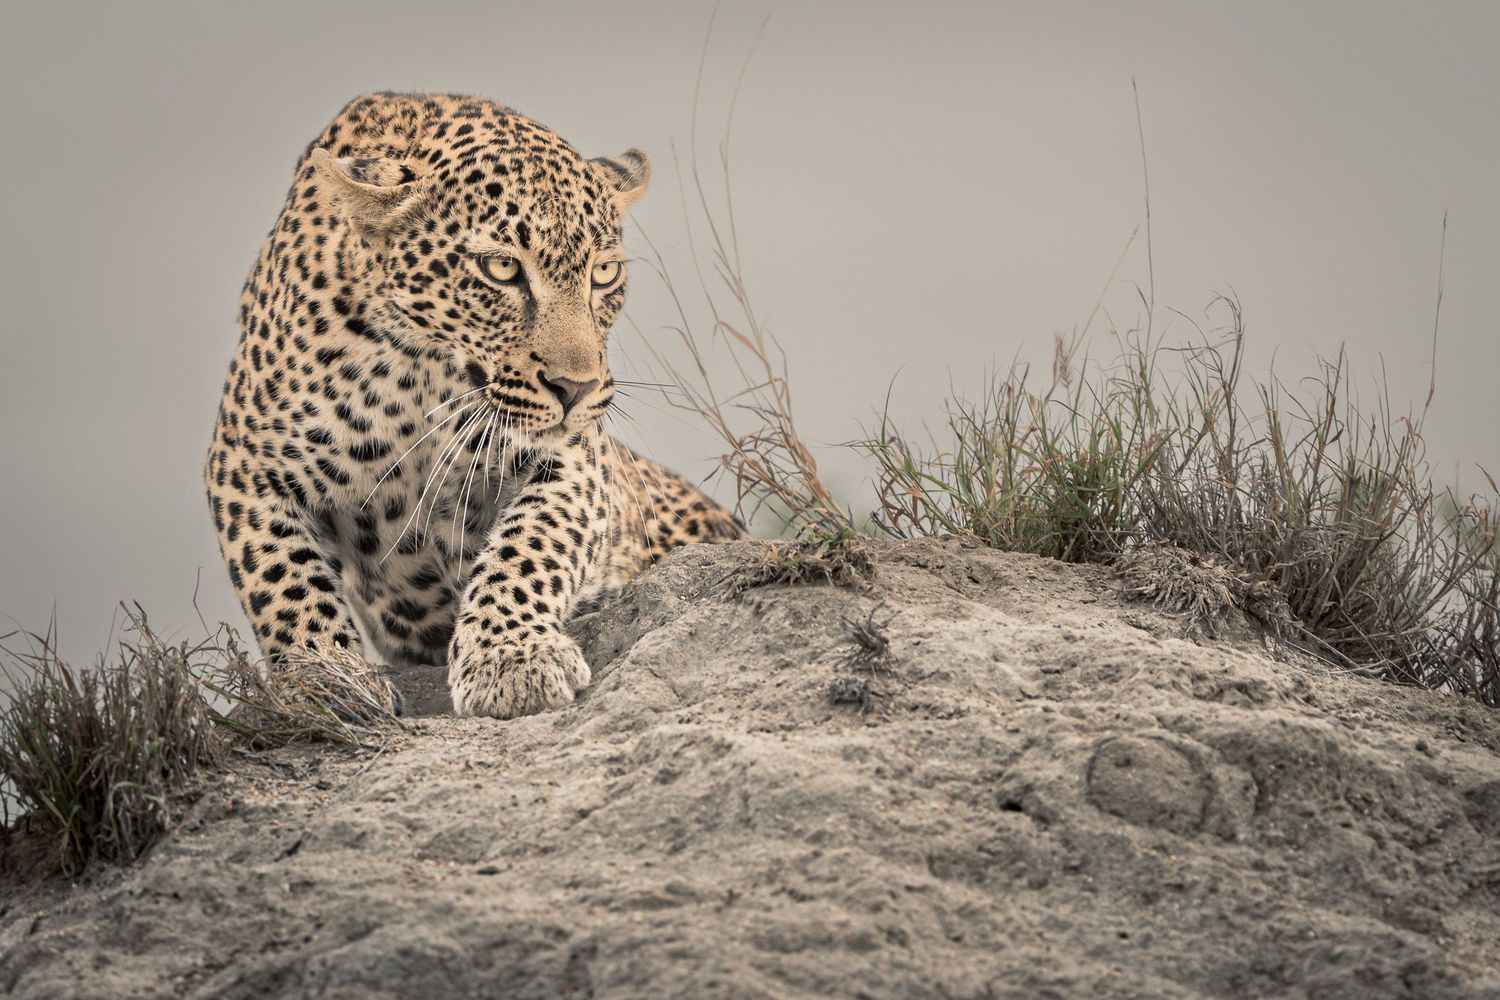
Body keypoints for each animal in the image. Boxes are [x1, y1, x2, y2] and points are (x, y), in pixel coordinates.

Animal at [205, 92, 743, 720]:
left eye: (603, 273)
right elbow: (283, 580)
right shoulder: (244, 464)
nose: (577, 388)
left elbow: (530, 542)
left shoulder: (578, 459)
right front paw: (325, 683)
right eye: (502, 268)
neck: (418, 373)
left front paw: (509, 659)